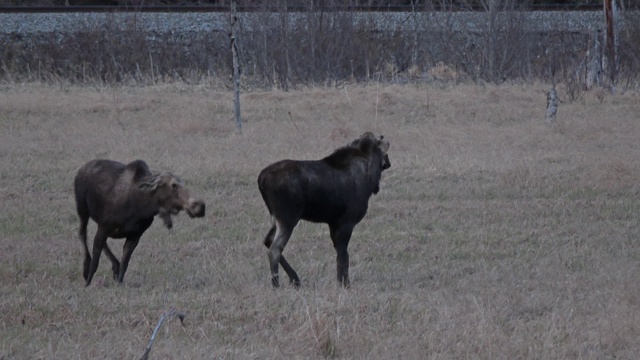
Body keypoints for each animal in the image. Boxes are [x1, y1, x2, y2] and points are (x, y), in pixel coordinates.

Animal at [74, 159, 205, 286]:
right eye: (173, 185)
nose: (200, 207)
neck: (141, 207)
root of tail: (81, 170)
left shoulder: (135, 235)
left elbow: (125, 263)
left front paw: (119, 283)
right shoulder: (104, 227)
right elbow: (95, 261)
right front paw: (87, 283)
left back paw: (115, 266)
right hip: (82, 209)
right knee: (82, 234)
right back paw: (86, 268)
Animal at [256, 131, 388, 288]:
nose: (387, 163)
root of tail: (261, 180)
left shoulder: (333, 223)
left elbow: (340, 253)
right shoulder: (347, 222)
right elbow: (344, 255)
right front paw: (345, 284)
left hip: (276, 219)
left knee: (268, 241)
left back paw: (295, 279)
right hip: (288, 218)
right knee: (274, 250)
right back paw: (277, 285)